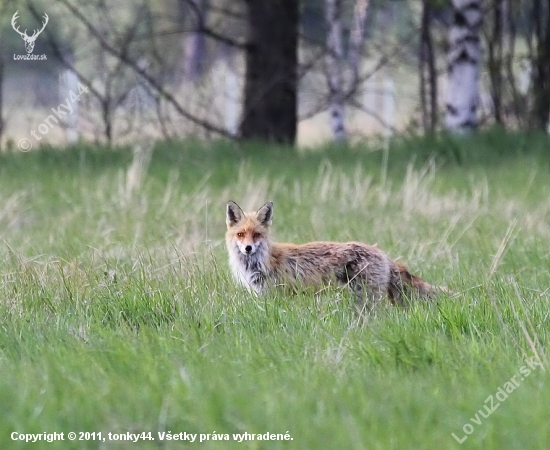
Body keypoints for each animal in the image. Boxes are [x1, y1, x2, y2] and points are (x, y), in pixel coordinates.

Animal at [226, 201, 446, 304]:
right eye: (240, 234)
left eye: (256, 234)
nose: (248, 248)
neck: (261, 263)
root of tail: (382, 252)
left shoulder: (276, 295)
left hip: (366, 296)